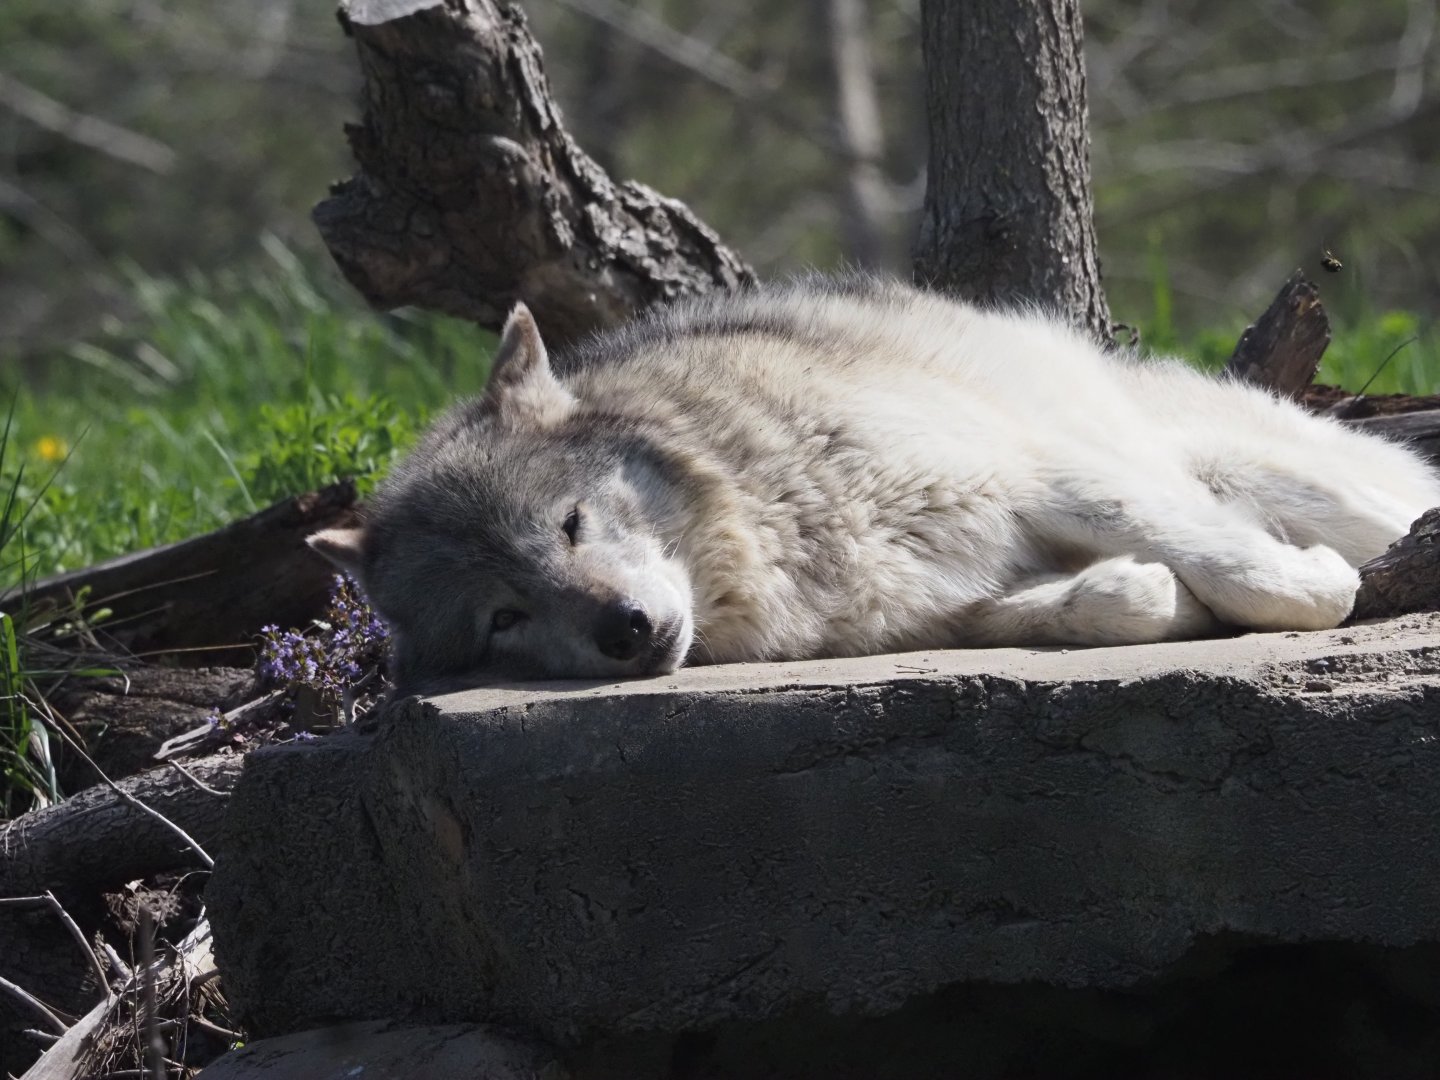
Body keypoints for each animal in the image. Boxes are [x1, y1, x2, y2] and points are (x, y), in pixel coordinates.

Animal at [309, 276, 1439, 689]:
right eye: (502, 618)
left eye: (573, 523)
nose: (624, 632)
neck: (782, 526)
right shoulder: (927, 608)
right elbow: (1102, 601)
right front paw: (1146, 600)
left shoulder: (1042, 472)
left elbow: (1246, 567)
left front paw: (1305, 588)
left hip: (1255, 460)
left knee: (1380, 505)